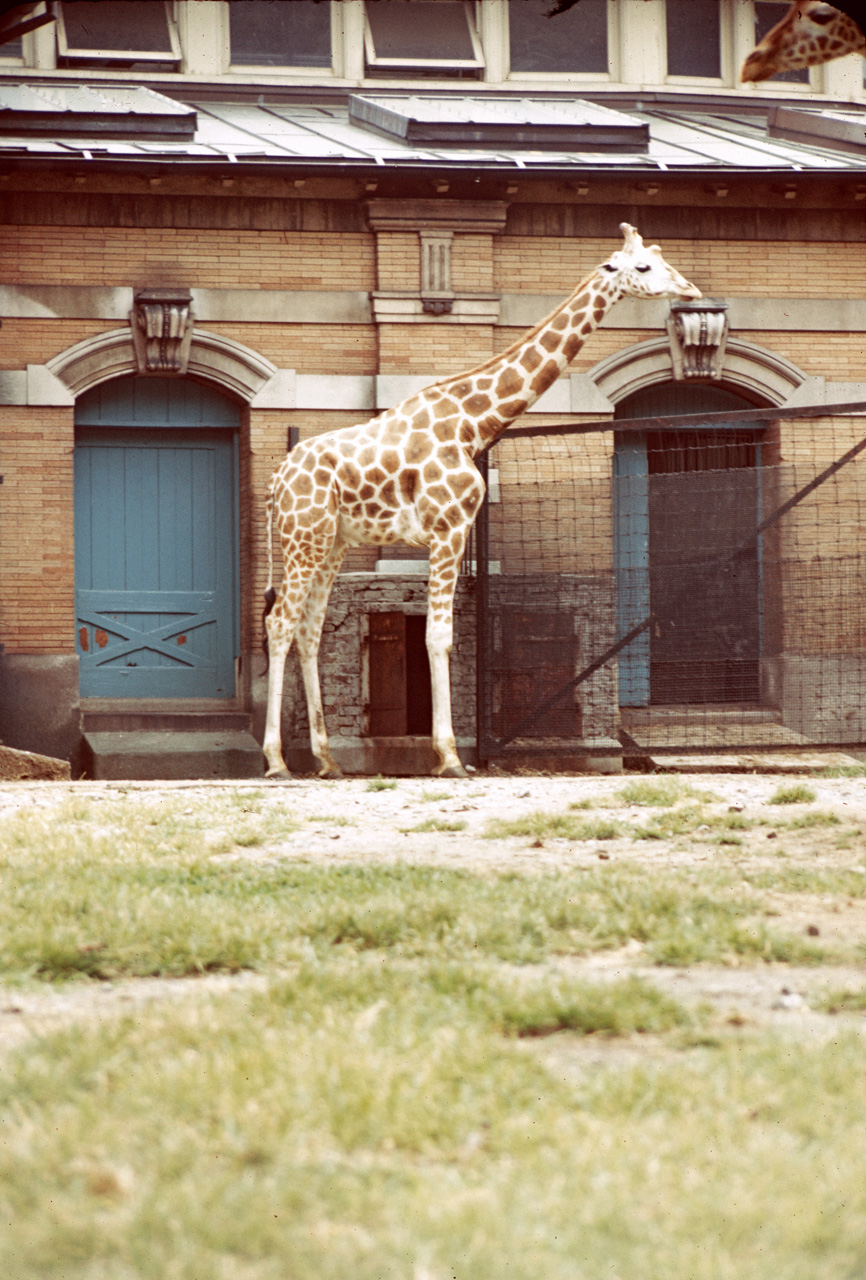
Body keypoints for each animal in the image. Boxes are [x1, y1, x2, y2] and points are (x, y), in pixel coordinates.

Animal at [259, 224, 700, 778]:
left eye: (662, 258)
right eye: (642, 267)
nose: (691, 291)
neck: (474, 423)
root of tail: (276, 481)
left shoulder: (455, 531)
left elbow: (443, 636)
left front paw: (443, 752)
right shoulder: (447, 529)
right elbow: (439, 636)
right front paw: (449, 756)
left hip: (331, 542)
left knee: (309, 630)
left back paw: (326, 759)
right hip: (303, 538)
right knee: (279, 622)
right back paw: (276, 760)